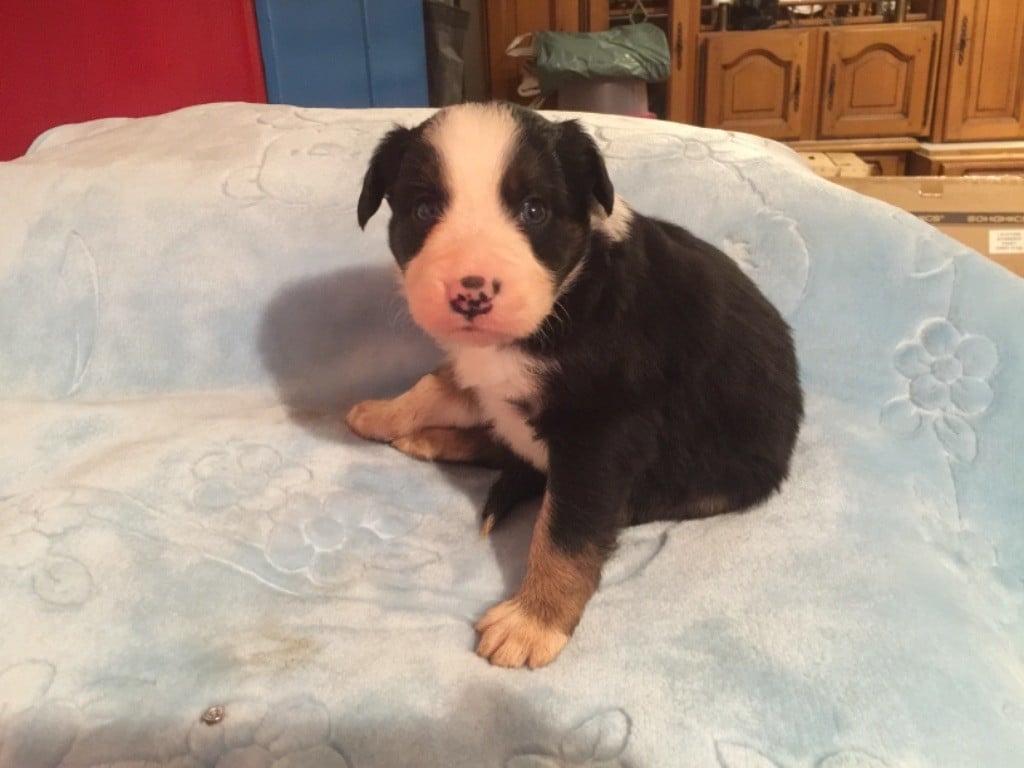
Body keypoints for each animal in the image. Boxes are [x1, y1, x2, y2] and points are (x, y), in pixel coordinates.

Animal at [348, 102, 803, 669]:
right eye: (425, 209)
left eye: (534, 210)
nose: (471, 294)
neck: (565, 299)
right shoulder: (484, 369)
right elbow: (437, 383)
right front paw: (381, 413)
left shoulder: (603, 430)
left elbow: (566, 529)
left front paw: (532, 621)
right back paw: (429, 438)